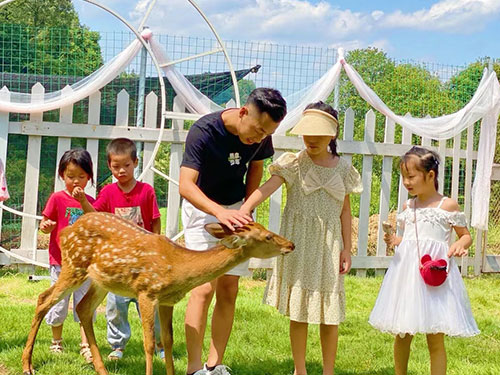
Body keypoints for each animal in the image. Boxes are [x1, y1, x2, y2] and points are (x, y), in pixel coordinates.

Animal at [21, 213, 292, 374]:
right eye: (268, 236)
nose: (291, 244)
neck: (178, 268)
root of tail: (65, 231)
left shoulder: (167, 300)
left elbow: (168, 341)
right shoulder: (147, 291)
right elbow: (149, 343)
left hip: (101, 281)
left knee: (83, 308)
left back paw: (102, 370)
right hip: (74, 265)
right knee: (44, 299)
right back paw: (28, 365)